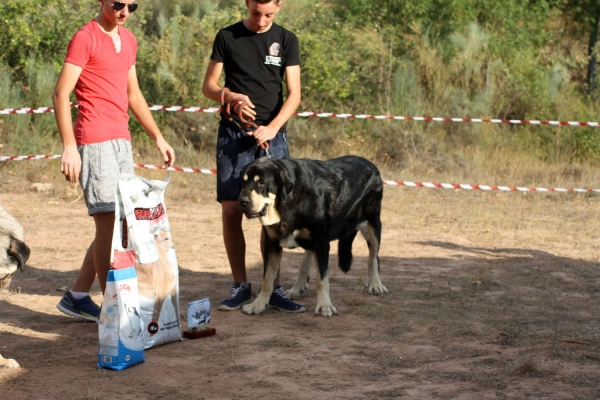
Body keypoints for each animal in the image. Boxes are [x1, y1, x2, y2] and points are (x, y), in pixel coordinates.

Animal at [239, 155, 390, 318]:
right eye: (243, 182)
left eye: (261, 182)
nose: (242, 201)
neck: (288, 202)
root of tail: (370, 163)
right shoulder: (272, 243)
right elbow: (267, 278)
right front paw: (258, 304)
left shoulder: (321, 243)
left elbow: (322, 278)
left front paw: (325, 306)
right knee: (306, 258)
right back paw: (297, 287)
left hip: (372, 223)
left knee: (373, 257)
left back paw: (375, 283)